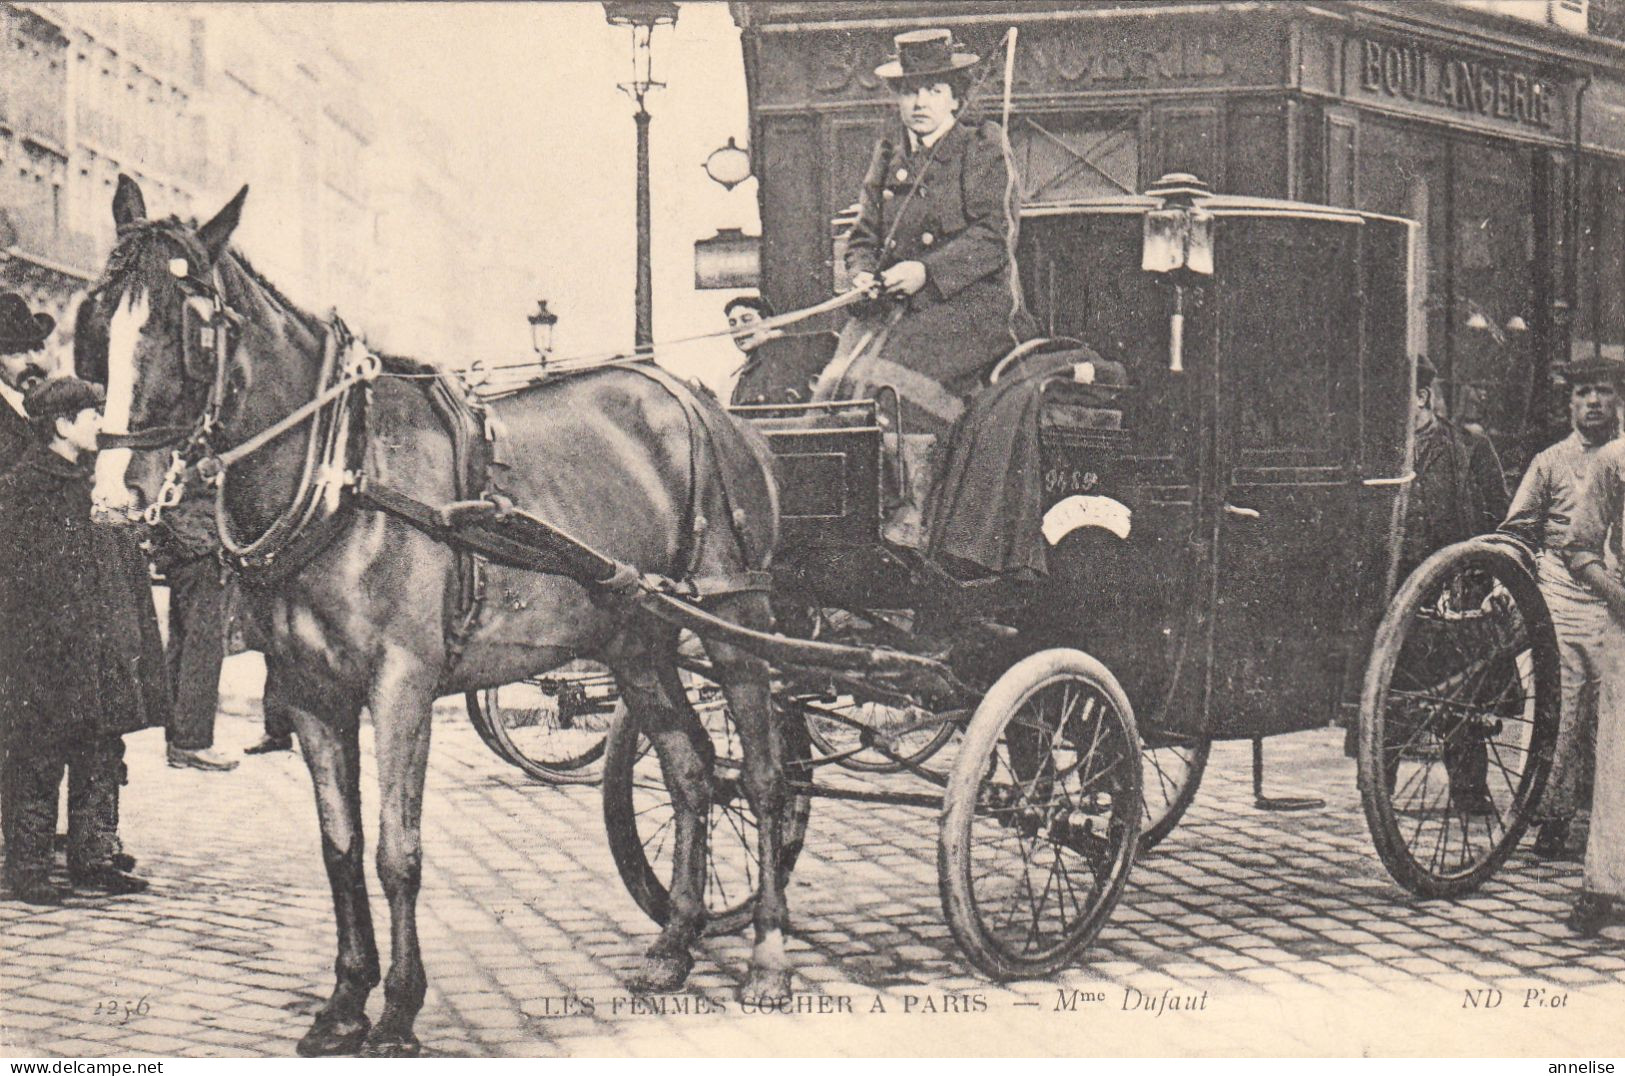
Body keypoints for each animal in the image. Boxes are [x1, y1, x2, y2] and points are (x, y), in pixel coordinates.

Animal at [82, 178, 793, 1059]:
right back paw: (674, 944)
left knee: (761, 776)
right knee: (692, 772)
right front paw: (344, 1002)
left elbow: (396, 851)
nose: (118, 493)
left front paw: (397, 1012)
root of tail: (706, 406)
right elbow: (341, 847)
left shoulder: (402, 686)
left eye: (192, 325)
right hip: (636, 638)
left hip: (735, 619)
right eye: (99, 318)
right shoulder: (310, 694)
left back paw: (768, 956)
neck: (345, 473)